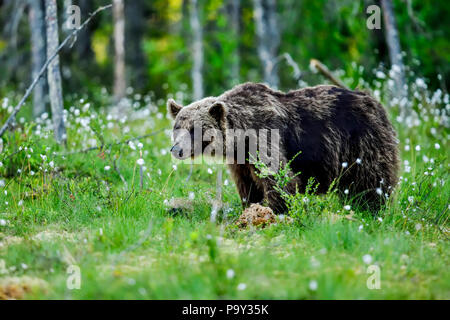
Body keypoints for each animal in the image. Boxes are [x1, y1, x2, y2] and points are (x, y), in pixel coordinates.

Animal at [167, 82, 400, 212]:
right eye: (177, 127)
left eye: (194, 129)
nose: (176, 150)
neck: (240, 137)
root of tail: (375, 101)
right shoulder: (241, 161)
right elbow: (247, 185)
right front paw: (250, 205)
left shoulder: (265, 136)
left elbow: (278, 177)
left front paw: (275, 210)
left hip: (361, 141)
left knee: (370, 179)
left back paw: (371, 208)